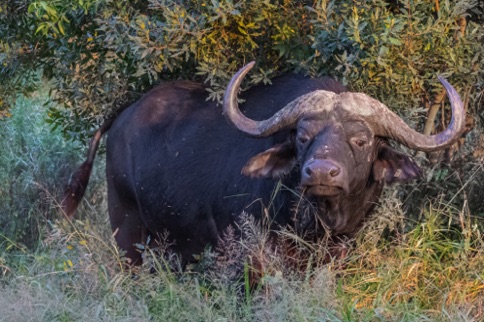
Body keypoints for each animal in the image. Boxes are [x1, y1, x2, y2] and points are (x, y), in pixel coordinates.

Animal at [61, 61, 466, 266]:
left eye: (361, 140)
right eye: (302, 136)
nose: (321, 172)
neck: (317, 223)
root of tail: (122, 115)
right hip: (126, 228)